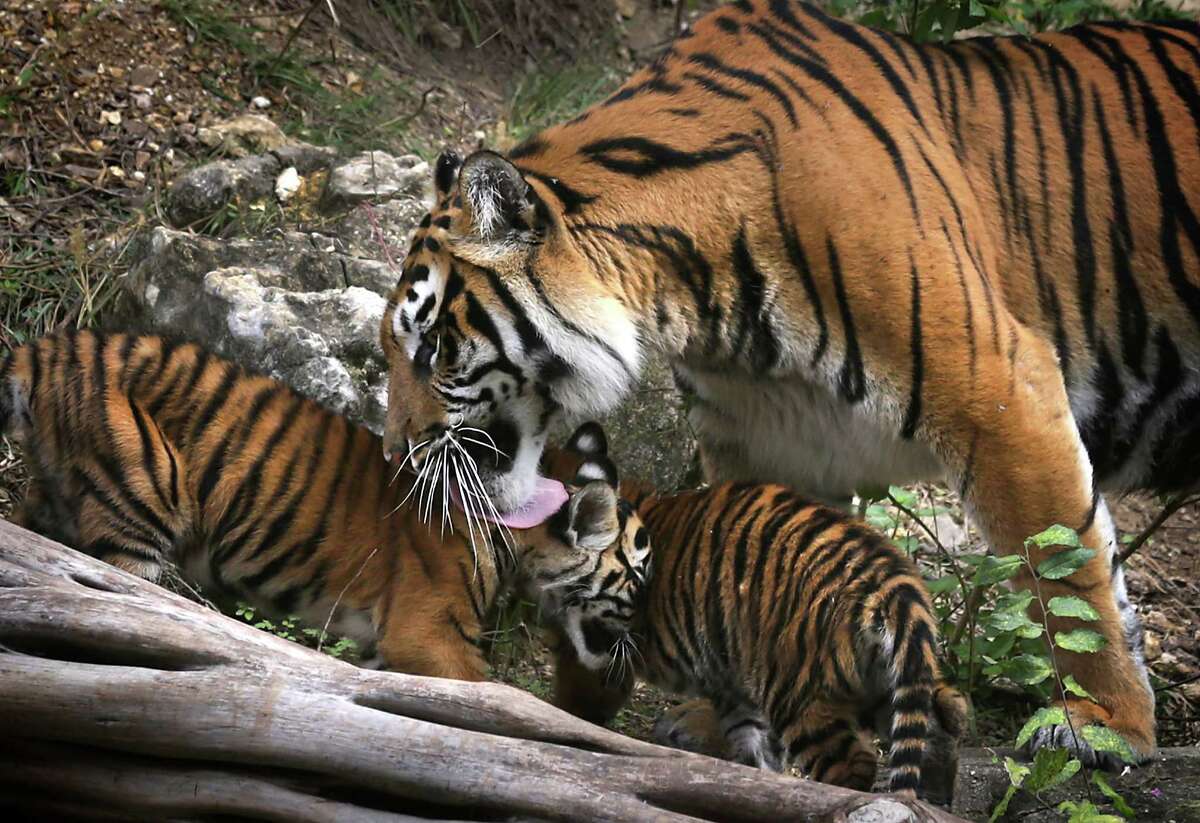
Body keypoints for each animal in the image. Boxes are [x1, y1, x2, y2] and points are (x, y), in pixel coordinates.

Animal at [384, 0, 1200, 767]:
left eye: (432, 348)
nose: (395, 449)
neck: (701, 297)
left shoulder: (996, 386)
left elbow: (1065, 566)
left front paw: (1105, 725)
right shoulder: (769, 438)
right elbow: (745, 575)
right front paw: (717, 718)